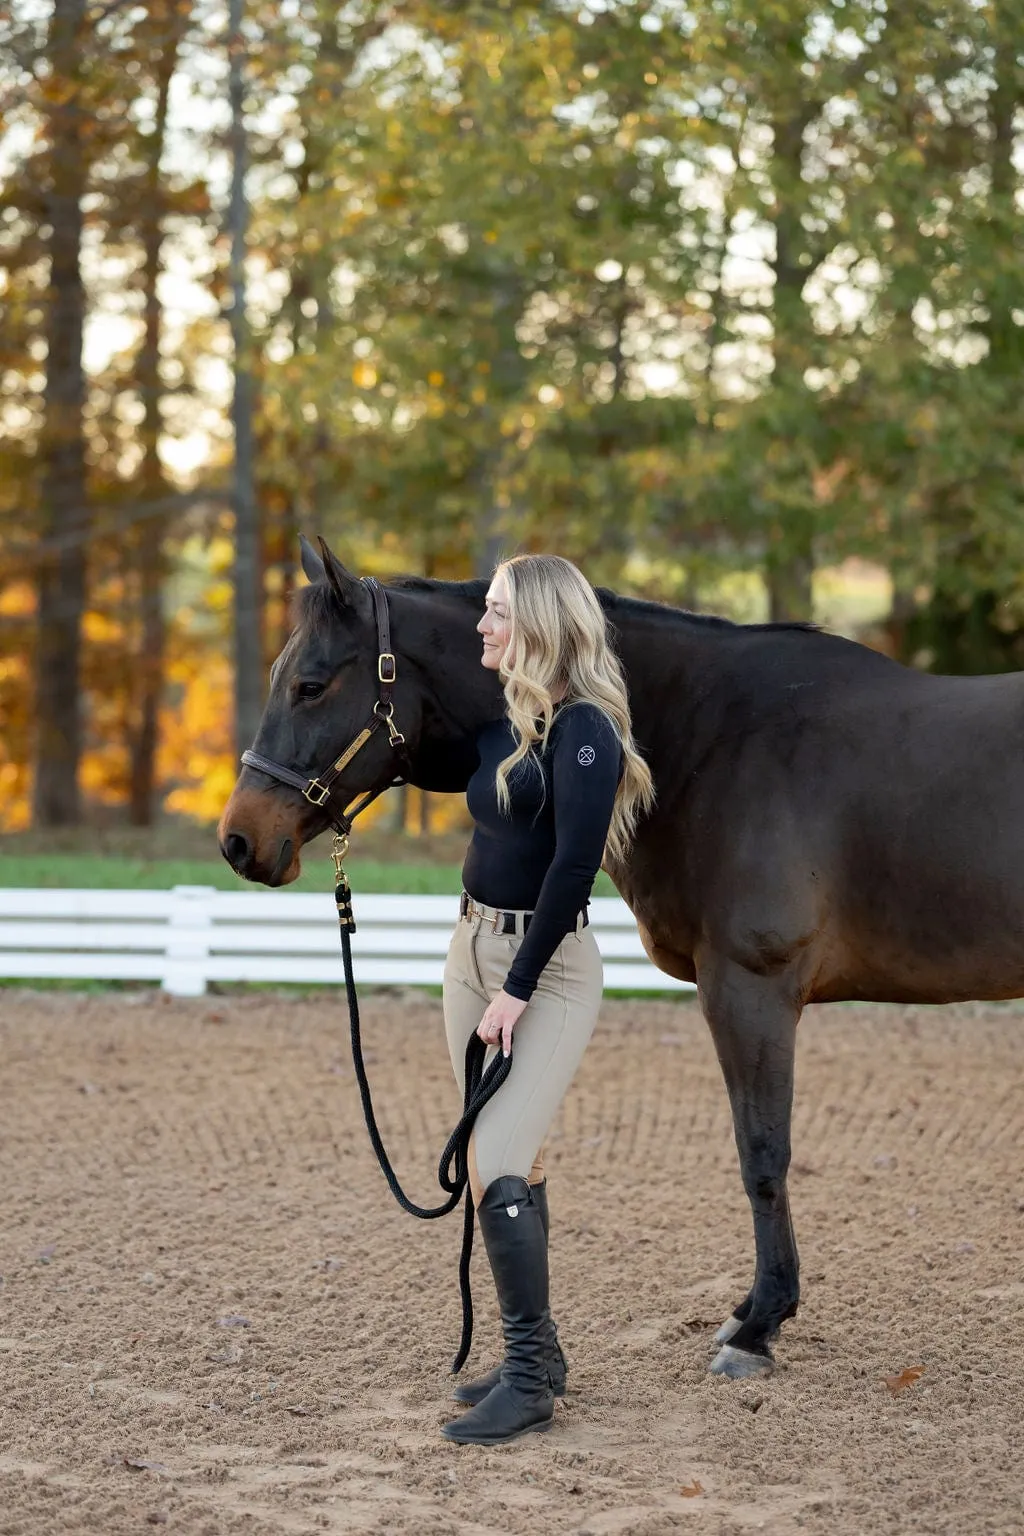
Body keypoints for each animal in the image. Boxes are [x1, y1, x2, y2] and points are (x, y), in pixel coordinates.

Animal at [218, 540, 1024, 1382]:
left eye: (311, 685)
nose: (238, 839)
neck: (714, 735)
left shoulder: (751, 990)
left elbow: (763, 1153)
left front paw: (758, 1326)